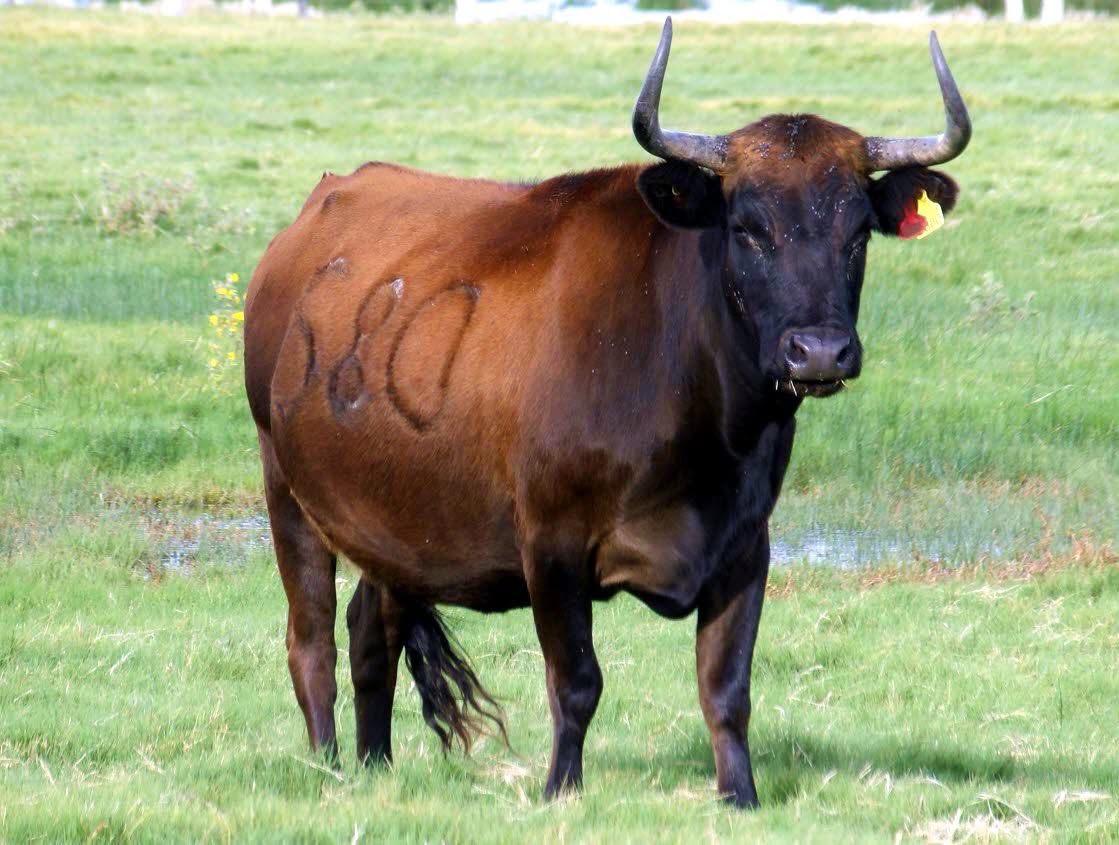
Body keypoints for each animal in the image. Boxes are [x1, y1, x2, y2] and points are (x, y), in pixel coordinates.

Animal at [243, 18, 970, 808]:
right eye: (747, 227)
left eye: (858, 232)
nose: (818, 352)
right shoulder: (550, 544)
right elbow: (577, 682)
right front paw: (560, 788)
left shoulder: (746, 546)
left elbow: (726, 688)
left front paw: (740, 796)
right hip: (287, 493)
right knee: (310, 639)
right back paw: (327, 765)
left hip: (389, 522)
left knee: (369, 632)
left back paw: (375, 765)